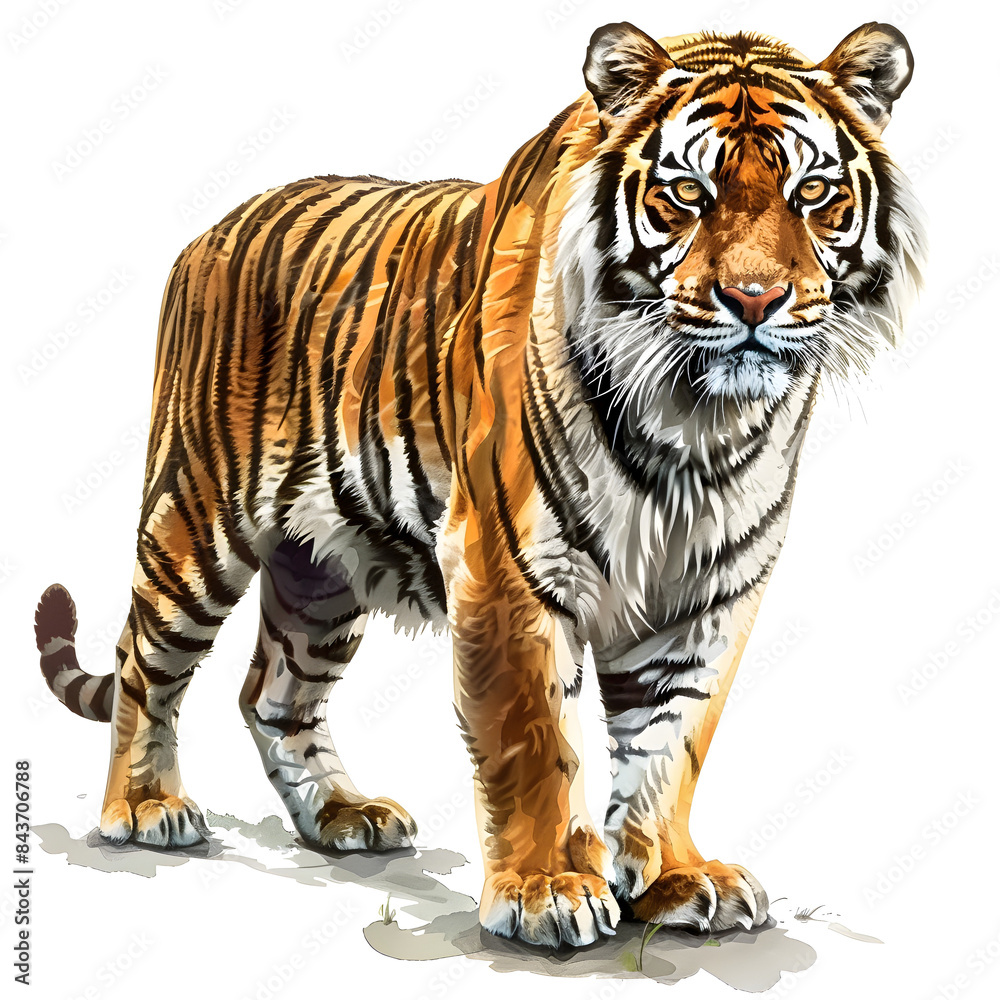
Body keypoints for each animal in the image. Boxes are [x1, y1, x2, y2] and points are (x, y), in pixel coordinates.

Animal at [34, 21, 925, 948]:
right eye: (687, 192)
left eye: (814, 191)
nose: (755, 298)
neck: (697, 422)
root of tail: (209, 231)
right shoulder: (509, 568)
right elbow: (535, 739)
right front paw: (547, 891)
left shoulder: (710, 591)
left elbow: (671, 743)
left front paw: (676, 877)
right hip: (197, 524)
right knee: (143, 663)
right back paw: (145, 808)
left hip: (323, 572)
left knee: (272, 693)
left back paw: (343, 816)